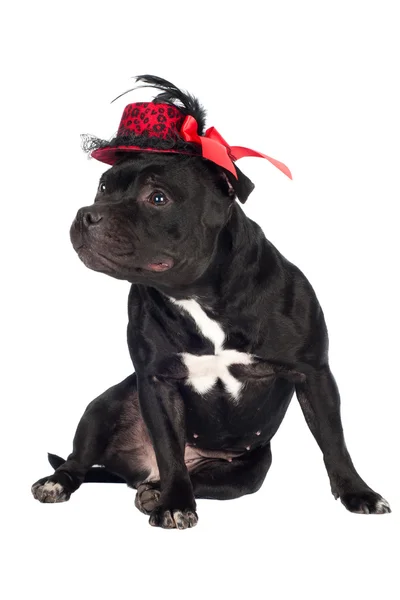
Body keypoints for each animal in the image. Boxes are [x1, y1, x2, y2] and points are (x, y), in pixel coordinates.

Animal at [31, 75, 390, 528]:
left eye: (158, 198)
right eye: (102, 187)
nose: (87, 214)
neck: (196, 294)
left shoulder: (314, 373)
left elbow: (334, 441)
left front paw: (358, 493)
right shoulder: (156, 381)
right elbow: (170, 452)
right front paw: (175, 503)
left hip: (249, 471)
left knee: (198, 479)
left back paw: (151, 492)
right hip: (104, 407)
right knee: (80, 460)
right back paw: (62, 482)